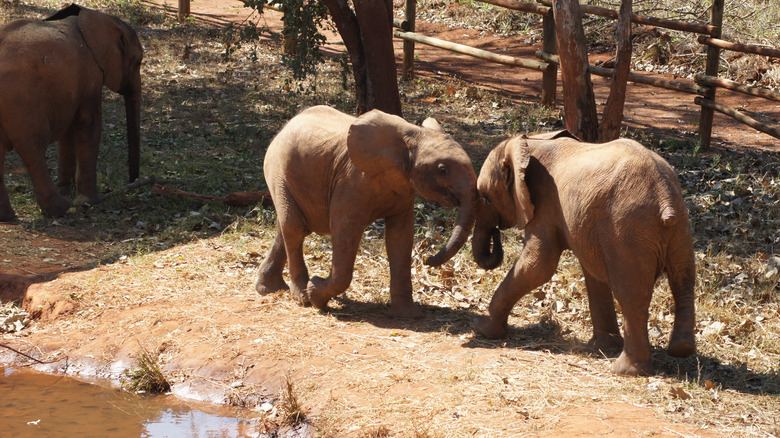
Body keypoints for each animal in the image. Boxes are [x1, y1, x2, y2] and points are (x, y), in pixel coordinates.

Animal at [0, 4, 143, 222]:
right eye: (138, 62)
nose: (133, 183)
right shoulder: (90, 75)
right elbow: (88, 124)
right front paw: (89, 203)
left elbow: (69, 131)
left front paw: (71, 194)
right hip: (21, 102)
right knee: (34, 147)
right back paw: (60, 209)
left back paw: (7, 217)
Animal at [256, 106, 478, 318]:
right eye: (442, 170)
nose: (429, 259)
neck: (412, 135)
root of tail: (285, 127)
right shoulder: (352, 181)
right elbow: (344, 230)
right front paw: (316, 294)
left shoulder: (404, 187)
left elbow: (400, 237)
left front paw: (408, 316)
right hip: (278, 171)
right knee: (293, 227)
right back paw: (302, 297)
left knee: (291, 227)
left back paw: (268, 289)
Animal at [470, 130, 696, 376]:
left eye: (485, 197)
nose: (496, 234)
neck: (530, 143)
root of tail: (665, 198)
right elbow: (592, 273)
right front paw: (601, 348)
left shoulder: (546, 202)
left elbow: (538, 265)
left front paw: (482, 329)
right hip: (678, 227)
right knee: (683, 279)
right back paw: (682, 350)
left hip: (629, 228)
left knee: (631, 293)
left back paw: (624, 370)